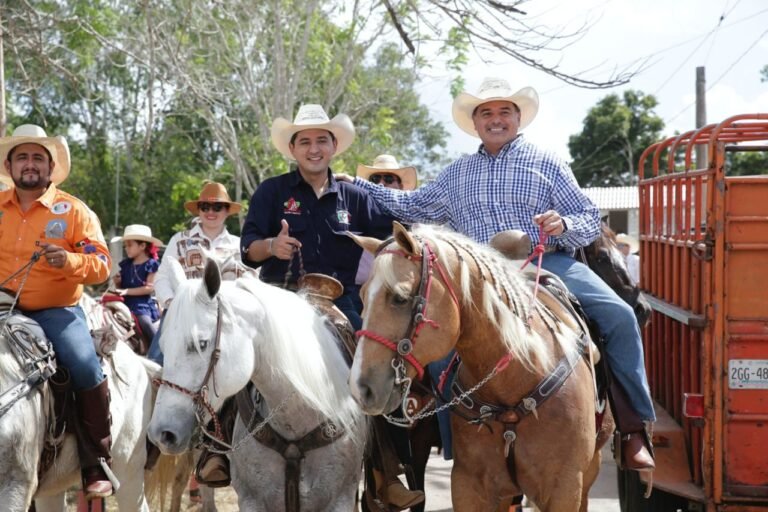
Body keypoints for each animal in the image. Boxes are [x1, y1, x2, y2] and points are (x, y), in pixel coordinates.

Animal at [148, 262, 368, 510]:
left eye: (201, 344)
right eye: (164, 346)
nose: (162, 433)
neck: (298, 415)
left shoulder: (340, 499)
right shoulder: (252, 500)